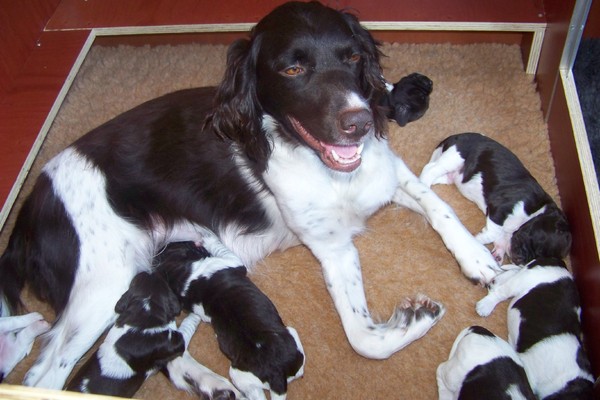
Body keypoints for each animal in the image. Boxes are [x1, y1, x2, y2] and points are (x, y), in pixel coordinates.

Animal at [155, 239, 305, 400]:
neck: (181, 278)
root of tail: (275, 374)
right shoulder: (232, 261)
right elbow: (219, 247)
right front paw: (207, 238)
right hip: (289, 334)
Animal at [420, 132, 571, 265]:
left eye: (539, 257)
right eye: (533, 242)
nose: (519, 261)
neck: (536, 212)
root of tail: (454, 137)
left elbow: (501, 238)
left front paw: (498, 253)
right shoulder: (500, 210)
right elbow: (493, 233)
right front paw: (476, 240)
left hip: (450, 175)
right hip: (454, 157)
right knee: (430, 168)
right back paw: (423, 184)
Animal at [476, 258, 594, 399]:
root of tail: (557, 261)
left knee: (514, 272)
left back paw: (497, 281)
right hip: (525, 279)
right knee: (503, 291)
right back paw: (486, 305)